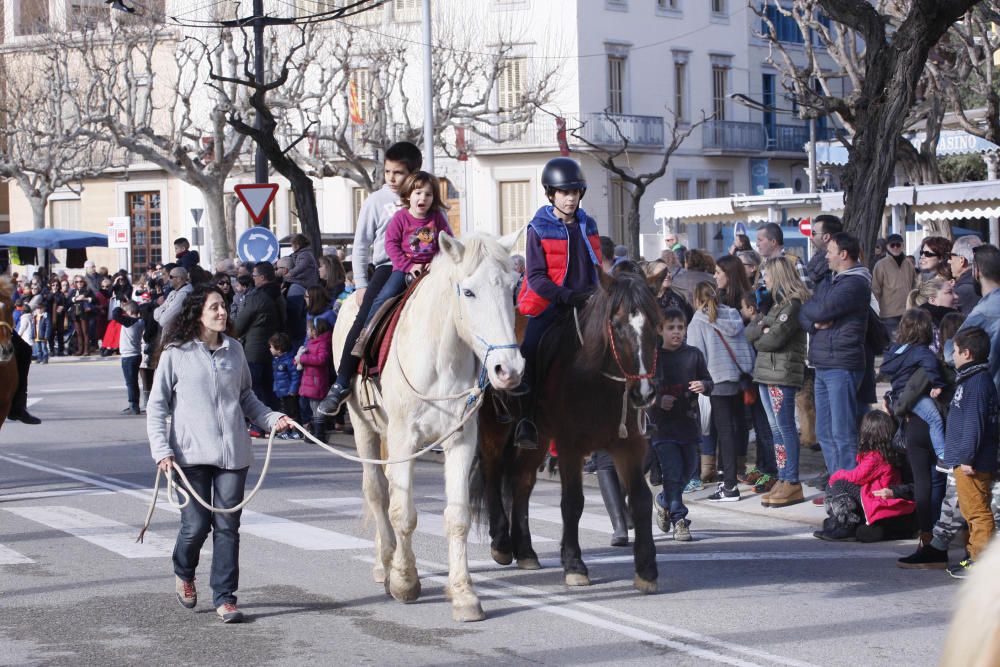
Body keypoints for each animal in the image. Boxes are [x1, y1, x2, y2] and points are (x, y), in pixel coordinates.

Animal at [334, 232, 528, 624]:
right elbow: (403, 512)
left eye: (513, 287)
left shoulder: (461, 440)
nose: (509, 369)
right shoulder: (404, 439)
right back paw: (385, 563)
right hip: (363, 427)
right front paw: (405, 582)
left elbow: (457, 517)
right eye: (468, 291)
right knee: (377, 492)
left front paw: (464, 594)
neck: (443, 358)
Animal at [476, 272, 664, 596]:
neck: (598, 380)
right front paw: (575, 565)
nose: (644, 393)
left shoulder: (630, 446)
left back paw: (525, 551)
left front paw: (646, 569)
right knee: (492, 472)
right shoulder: (570, 448)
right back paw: (501, 542)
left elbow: (640, 501)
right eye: (617, 325)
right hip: (495, 427)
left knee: (521, 481)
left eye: (654, 323)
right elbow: (573, 503)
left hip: (536, 439)